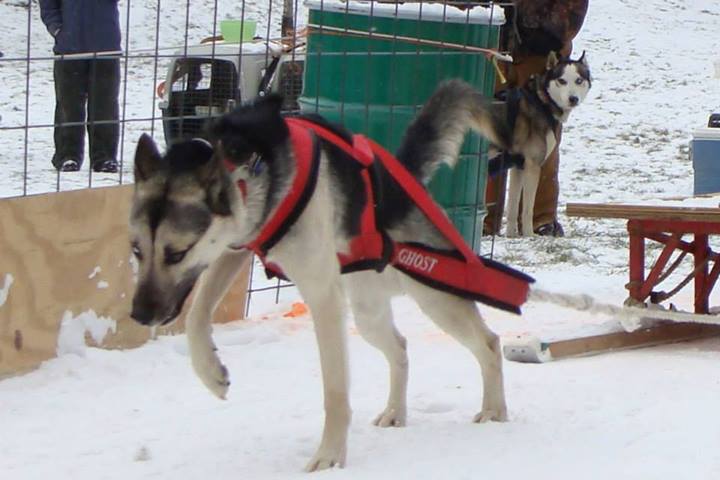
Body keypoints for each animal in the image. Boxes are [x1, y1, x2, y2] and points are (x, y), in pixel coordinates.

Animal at [128, 80, 516, 470]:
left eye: (176, 253)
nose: (139, 315)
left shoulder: (322, 296)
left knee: (489, 343)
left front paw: (329, 456)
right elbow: (197, 315)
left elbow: (335, 391)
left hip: (433, 293)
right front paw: (211, 372)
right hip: (368, 312)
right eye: (136, 250)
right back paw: (395, 412)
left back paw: (493, 411)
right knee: (400, 347)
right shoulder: (234, 248)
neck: (251, 164)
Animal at [492, 51, 592, 236]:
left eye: (578, 80)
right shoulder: (533, 165)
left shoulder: (518, 166)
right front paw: (529, 235)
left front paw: (511, 236)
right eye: (562, 80)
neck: (541, 101)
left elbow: (512, 207)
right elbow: (527, 209)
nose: (573, 99)